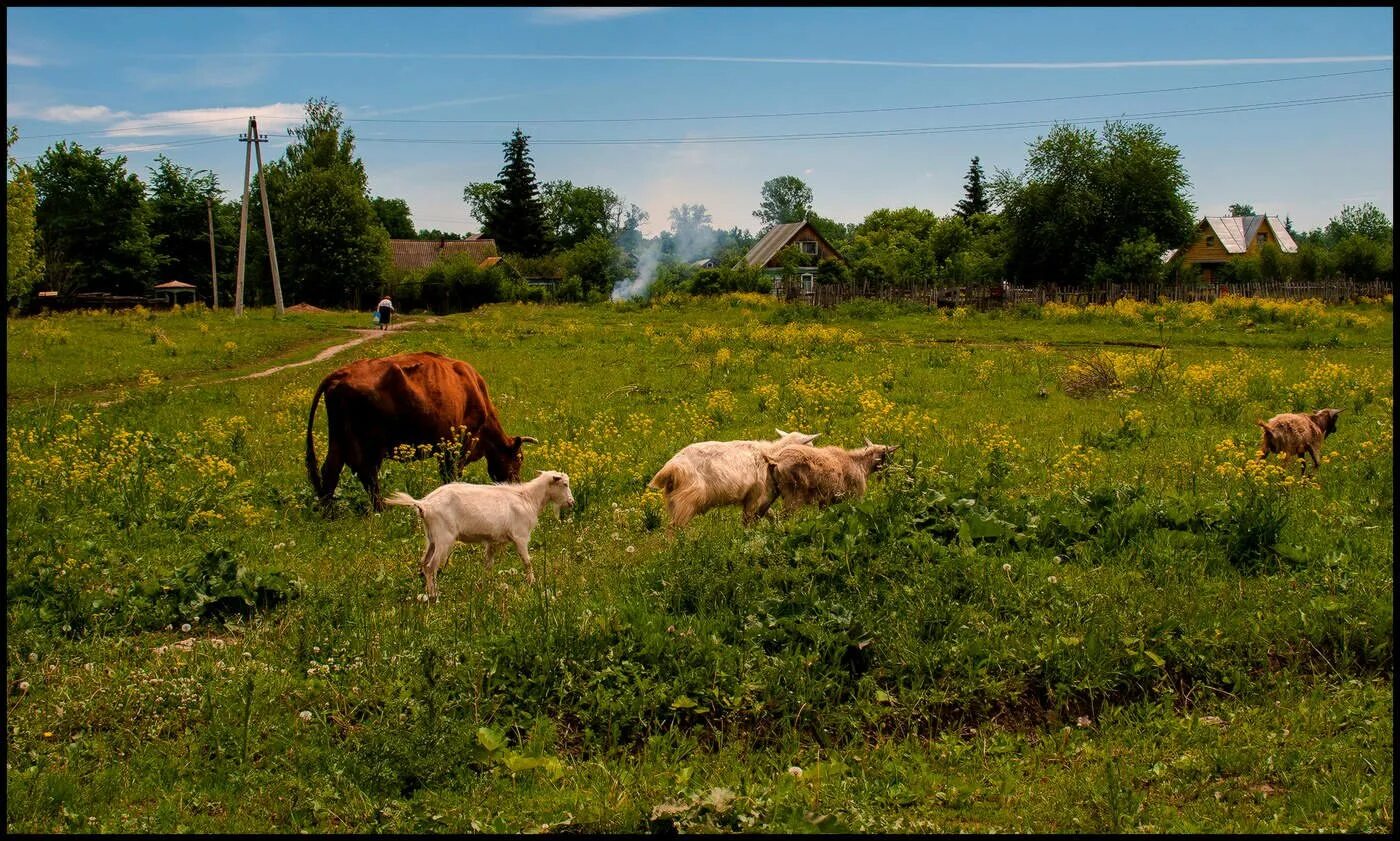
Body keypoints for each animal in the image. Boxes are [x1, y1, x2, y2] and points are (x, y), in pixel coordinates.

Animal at [303, 351, 532, 509]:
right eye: (519, 459)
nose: (518, 488)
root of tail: (340, 374)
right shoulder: (457, 446)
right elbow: (451, 474)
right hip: (370, 443)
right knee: (366, 472)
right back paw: (377, 508)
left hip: (340, 439)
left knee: (332, 470)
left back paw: (332, 511)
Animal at [383, 470, 574, 598]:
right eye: (564, 484)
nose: (572, 502)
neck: (527, 499)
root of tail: (424, 504)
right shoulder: (521, 537)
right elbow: (527, 562)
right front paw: (532, 583)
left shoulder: (492, 541)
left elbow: (488, 565)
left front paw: (486, 587)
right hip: (444, 538)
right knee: (431, 566)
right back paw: (434, 596)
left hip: (431, 538)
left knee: (423, 563)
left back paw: (426, 592)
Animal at [646, 430, 817, 528]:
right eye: (811, 446)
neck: (771, 457)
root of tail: (671, 467)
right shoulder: (755, 497)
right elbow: (748, 522)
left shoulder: (758, 499)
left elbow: (770, 515)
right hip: (686, 502)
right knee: (674, 528)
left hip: (675, 501)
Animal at [767, 439, 896, 512]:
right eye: (887, 455)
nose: (890, 469)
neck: (860, 464)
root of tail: (777, 460)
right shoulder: (855, 496)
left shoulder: (827, 501)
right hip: (794, 495)